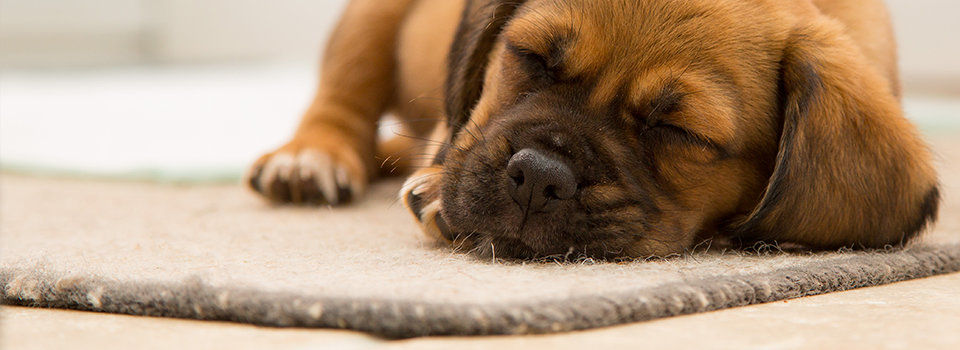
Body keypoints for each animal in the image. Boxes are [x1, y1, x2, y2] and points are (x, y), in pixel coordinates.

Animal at [246, 0, 936, 260]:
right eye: (530, 57)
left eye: (676, 130)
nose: (537, 178)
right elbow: (459, 125)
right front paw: (440, 184)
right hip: (368, 22)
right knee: (342, 100)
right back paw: (311, 157)